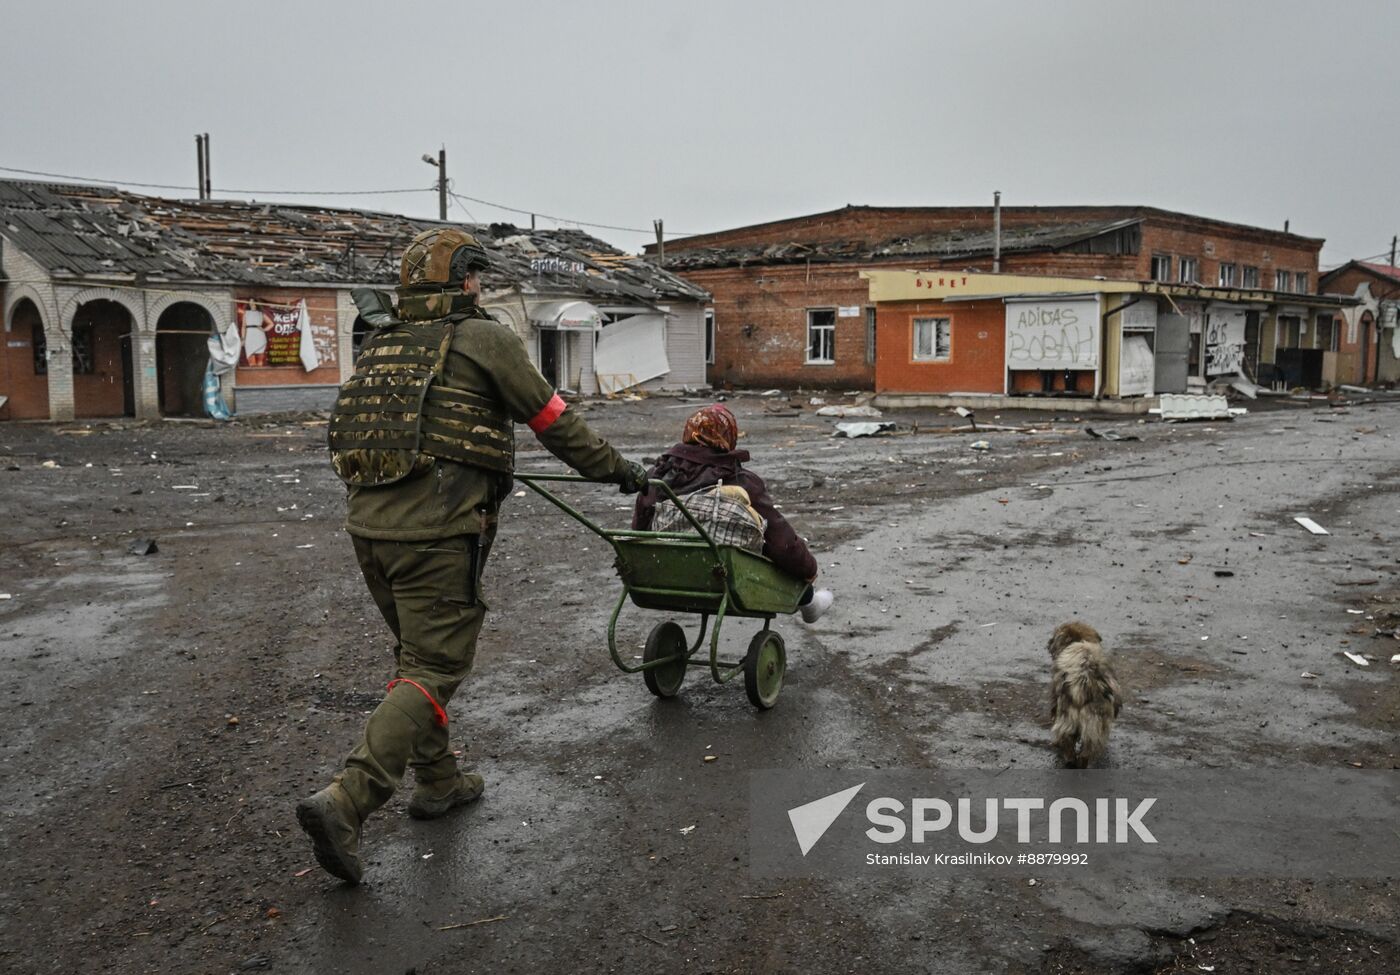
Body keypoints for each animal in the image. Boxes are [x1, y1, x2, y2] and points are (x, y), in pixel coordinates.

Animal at [1047, 624, 1120, 767]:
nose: (1048, 643)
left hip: (1068, 718)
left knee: (1067, 741)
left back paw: (1069, 759)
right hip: (1094, 725)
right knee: (1085, 751)